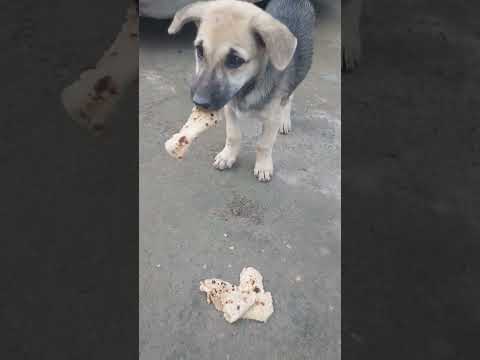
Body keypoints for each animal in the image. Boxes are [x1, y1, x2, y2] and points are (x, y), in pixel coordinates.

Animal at [168, 0, 316, 180]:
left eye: (235, 60)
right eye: (200, 51)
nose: (199, 102)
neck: (247, 88)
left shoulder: (272, 118)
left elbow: (264, 144)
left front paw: (263, 166)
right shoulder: (229, 109)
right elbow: (233, 135)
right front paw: (228, 156)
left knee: (289, 97)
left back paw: (285, 120)